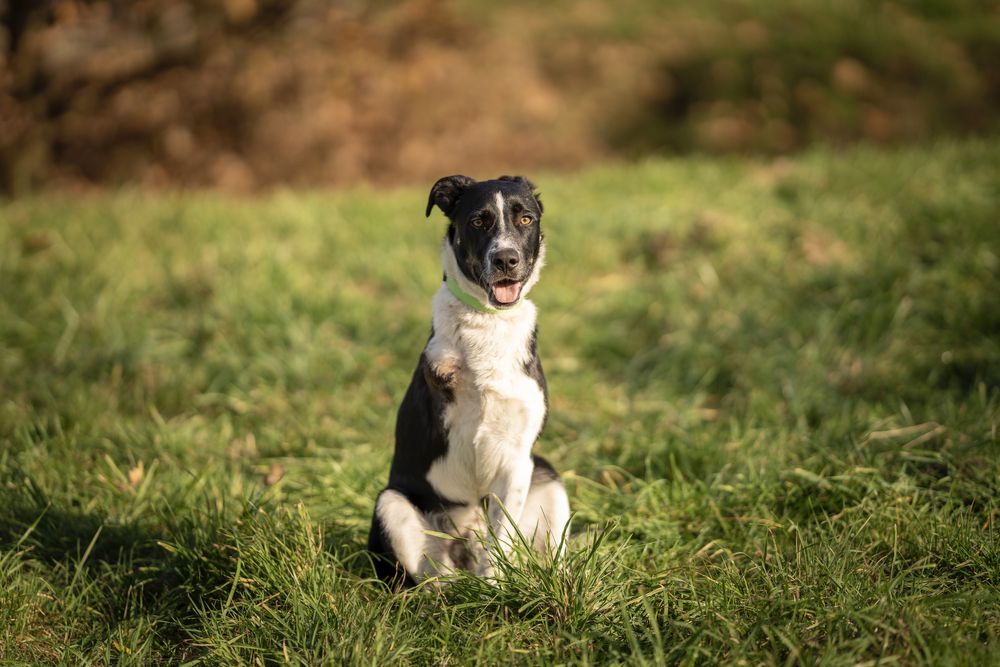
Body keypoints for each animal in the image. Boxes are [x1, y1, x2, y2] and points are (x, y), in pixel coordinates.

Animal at [368, 174, 572, 584]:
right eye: (478, 221)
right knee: (429, 584)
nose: (506, 259)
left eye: (525, 219)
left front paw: (497, 586)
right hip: (392, 505)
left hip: (549, 476)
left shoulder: (517, 460)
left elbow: (501, 540)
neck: (490, 319)